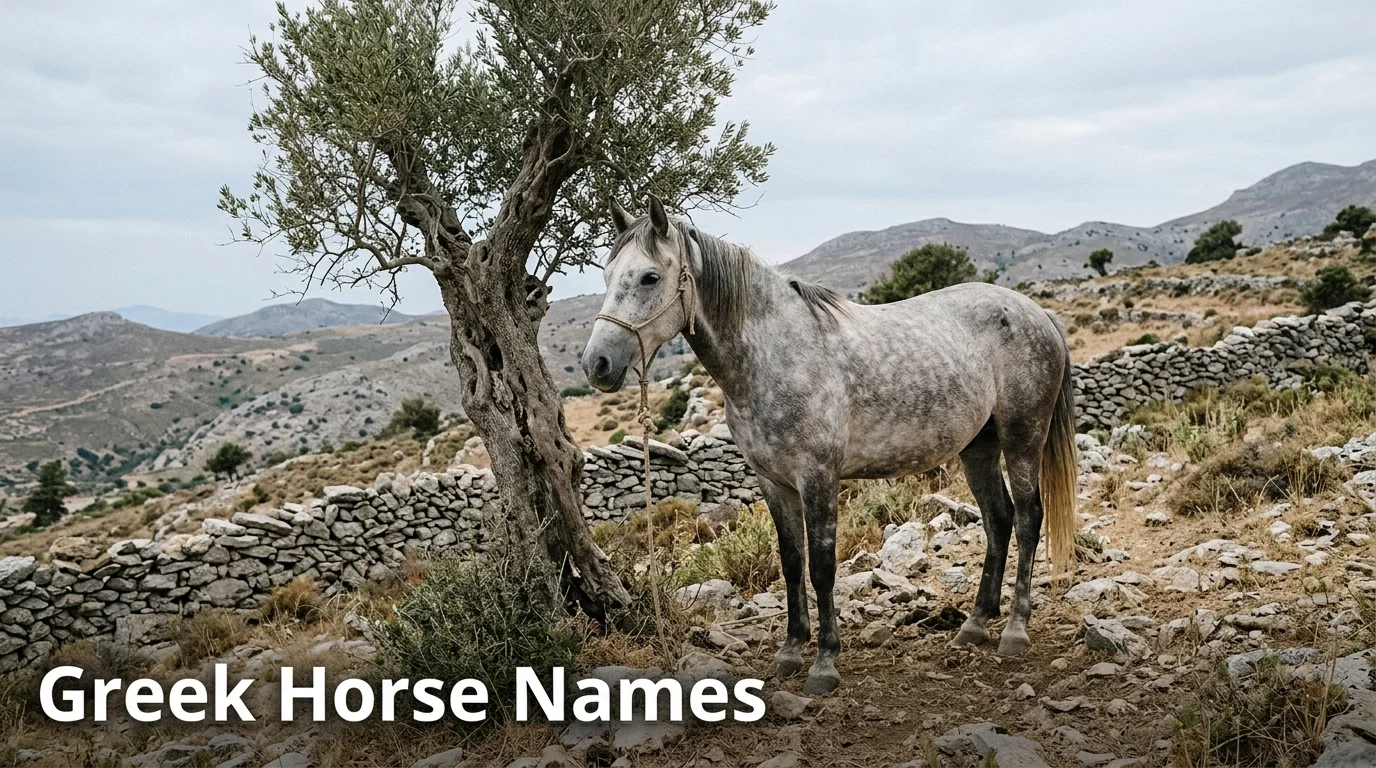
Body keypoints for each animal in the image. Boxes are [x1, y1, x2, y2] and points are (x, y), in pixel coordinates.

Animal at [582, 196, 1077, 695]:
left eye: (650, 277)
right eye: (606, 275)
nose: (596, 364)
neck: (774, 355)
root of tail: (1038, 314)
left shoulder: (818, 477)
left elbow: (822, 566)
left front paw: (824, 663)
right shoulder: (773, 482)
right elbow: (791, 561)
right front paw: (789, 651)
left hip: (1022, 438)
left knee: (1028, 518)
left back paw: (1014, 630)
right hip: (978, 446)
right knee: (999, 519)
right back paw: (974, 624)